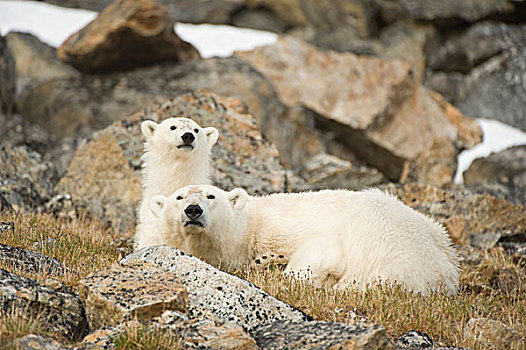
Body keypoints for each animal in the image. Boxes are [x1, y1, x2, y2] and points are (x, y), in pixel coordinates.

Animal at [150, 185, 462, 294]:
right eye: (179, 197)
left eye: (211, 195)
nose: (193, 209)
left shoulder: (284, 226)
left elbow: (323, 251)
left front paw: (276, 265)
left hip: (385, 228)